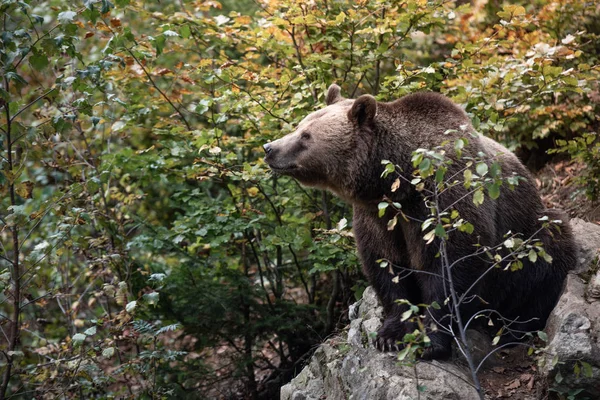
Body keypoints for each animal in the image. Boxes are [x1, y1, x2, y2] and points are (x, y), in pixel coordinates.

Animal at [262, 84, 576, 360]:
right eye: (300, 126)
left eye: (306, 136)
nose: (269, 147)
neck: (399, 182)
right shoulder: (377, 216)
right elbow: (386, 266)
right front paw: (390, 335)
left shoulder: (446, 200)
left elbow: (450, 267)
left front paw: (432, 343)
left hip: (532, 233)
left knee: (544, 265)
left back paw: (516, 329)